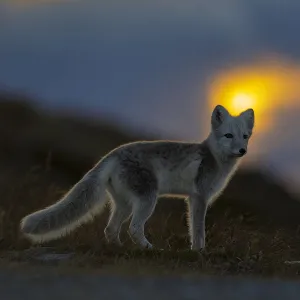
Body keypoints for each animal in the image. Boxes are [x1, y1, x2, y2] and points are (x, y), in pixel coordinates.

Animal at [20, 105, 255, 251]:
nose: (242, 151)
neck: (215, 157)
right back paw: (150, 249)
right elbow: (198, 230)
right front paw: (199, 251)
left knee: (110, 229)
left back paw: (118, 249)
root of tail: (113, 154)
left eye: (244, 136)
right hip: (147, 200)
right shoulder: (199, 197)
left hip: (124, 204)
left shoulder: (194, 198)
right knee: (133, 228)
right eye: (228, 136)